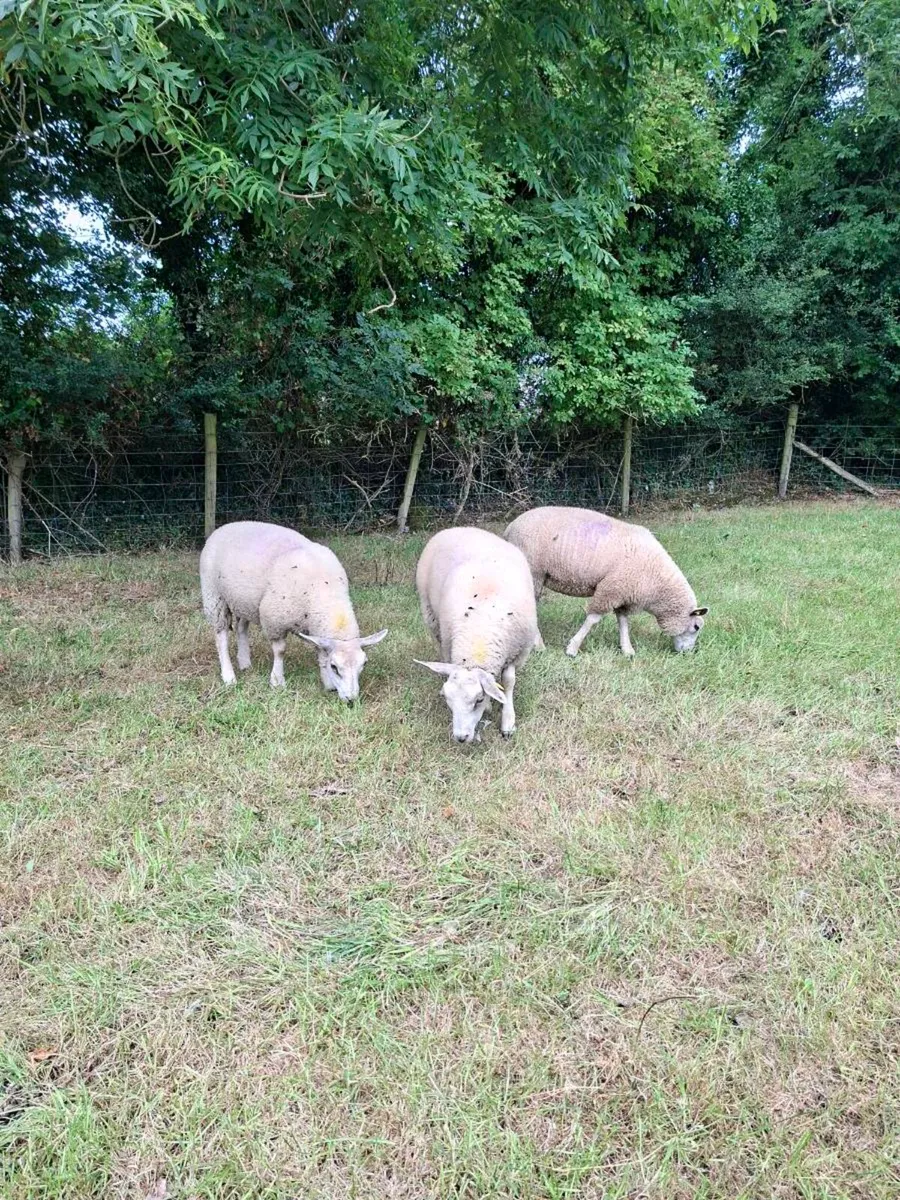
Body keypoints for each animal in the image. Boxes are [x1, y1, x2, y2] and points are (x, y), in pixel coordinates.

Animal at [199, 521, 387, 698]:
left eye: (364, 664)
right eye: (335, 667)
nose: (351, 699)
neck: (326, 595)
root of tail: (224, 527)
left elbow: (320, 653)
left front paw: (328, 684)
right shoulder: (274, 620)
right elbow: (280, 651)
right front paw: (277, 681)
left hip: (244, 601)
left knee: (241, 628)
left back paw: (245, 663)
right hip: (214, 596)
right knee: (221, 636)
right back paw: (229, 676)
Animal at [414, 527, 538, 743]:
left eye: (478, 699)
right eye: (448, 700)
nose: (461, 737)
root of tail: (460, 528)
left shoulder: (518, 652)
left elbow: (509, 682)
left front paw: (508, 722)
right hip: (431, 616)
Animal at [504, 506, 708, 657]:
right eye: (696, 627)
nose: (688, 653)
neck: (657, 583)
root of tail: (510, 528)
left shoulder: (624, 593)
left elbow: (623, 622)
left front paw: (627, 650)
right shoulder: (610, 589)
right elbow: (593, 620)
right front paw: (572, 649)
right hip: (534, 572)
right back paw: (538, 645)